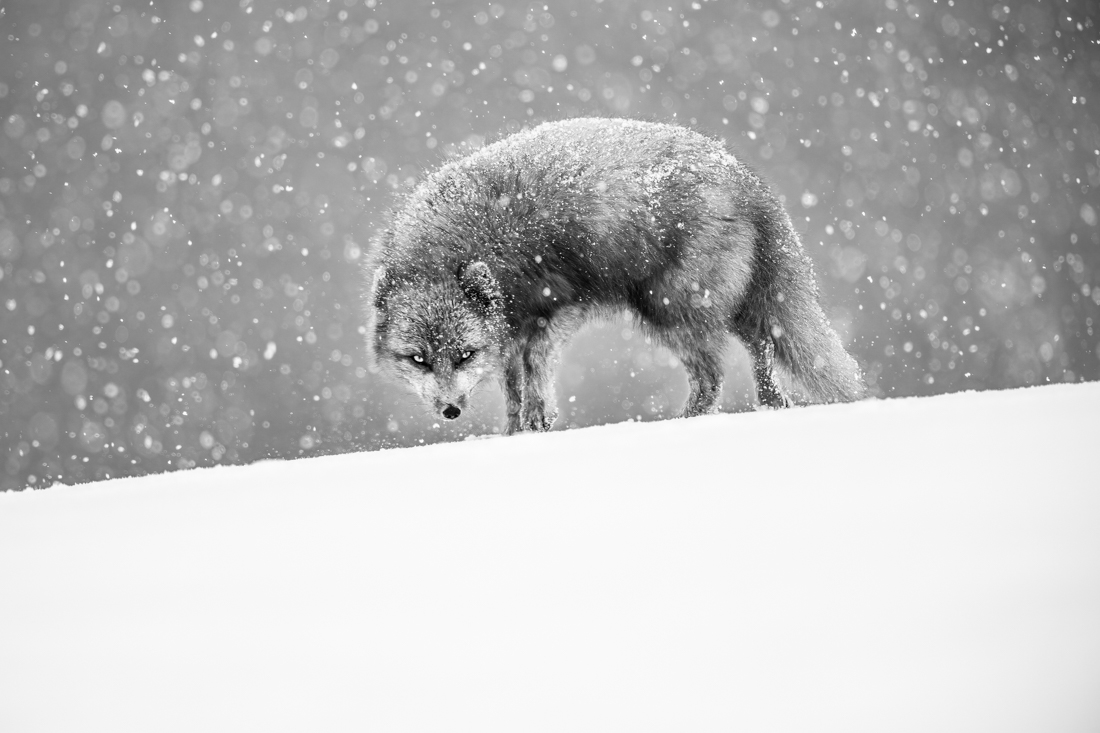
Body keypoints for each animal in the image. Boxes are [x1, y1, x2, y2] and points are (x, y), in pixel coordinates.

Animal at [365, 117, 862, 431]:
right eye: (418, 359)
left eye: (464, 355)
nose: (450, 410)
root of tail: (747, 180)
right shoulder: (510, 326)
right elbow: (512, 386)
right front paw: (512, 432)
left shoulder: (559, 305)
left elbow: (534, 368)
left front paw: (538, 421)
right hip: (726, 306)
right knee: (761, 345)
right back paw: (773, 405)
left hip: (670, 309)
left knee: (714, 375)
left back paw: (685, 423)